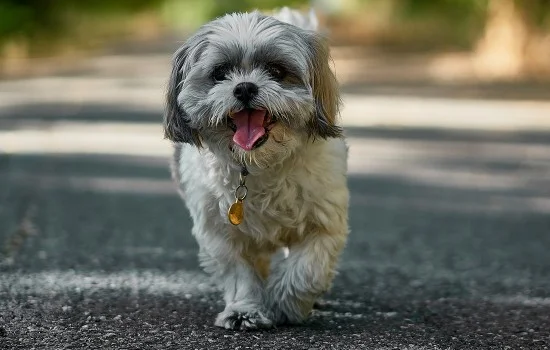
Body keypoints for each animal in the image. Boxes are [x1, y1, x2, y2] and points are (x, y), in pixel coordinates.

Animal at [166, 8, 352, 330]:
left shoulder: (323, 223)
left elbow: (307, 269)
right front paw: (244, 310)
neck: (258, 165)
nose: (244, 87)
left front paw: (286, 304)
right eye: (220, 73)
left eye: (276, 71)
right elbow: (239, 274)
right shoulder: (220, 233)